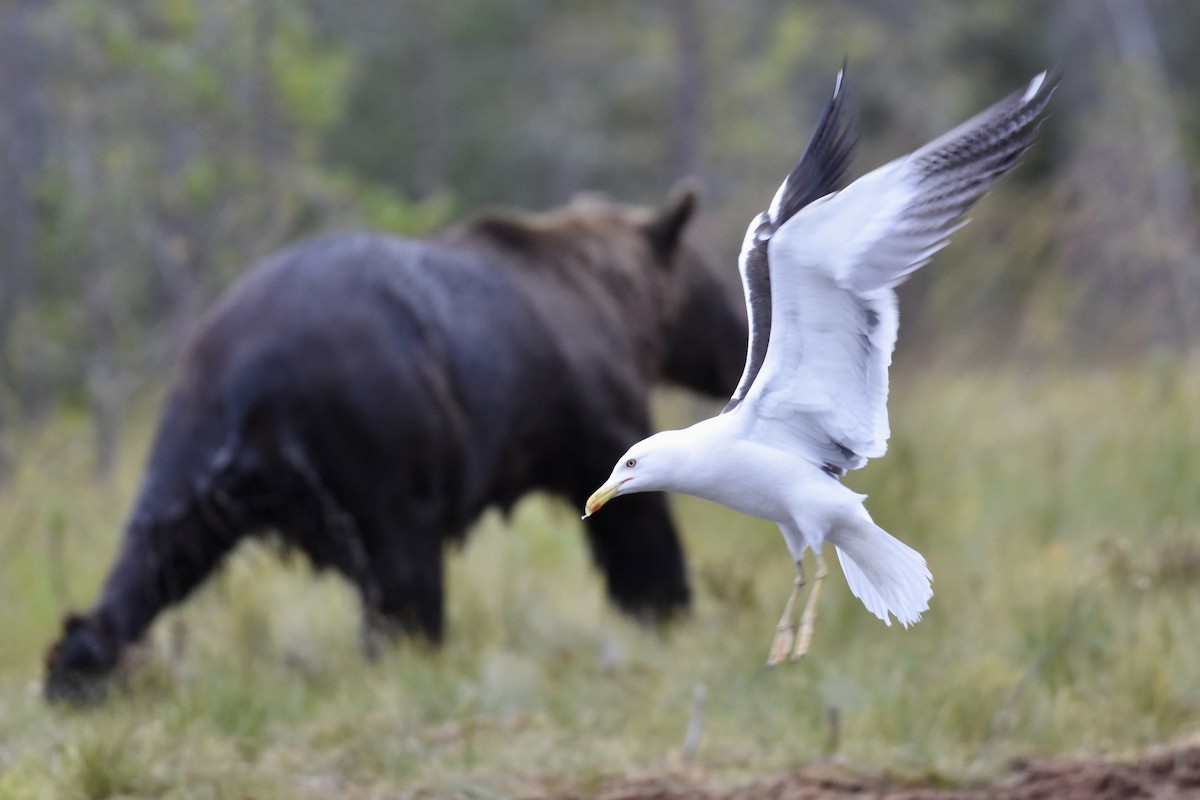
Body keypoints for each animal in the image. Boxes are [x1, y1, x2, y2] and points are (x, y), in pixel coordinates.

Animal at [46, 190, 744, 705]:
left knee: (155, 550)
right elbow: (636, 522)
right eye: (718, 286)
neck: (619, 307)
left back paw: (77, 670)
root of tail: (252, 375)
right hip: (379, 434)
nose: (740, 344)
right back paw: (414, 656)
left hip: (193, 438)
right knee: (404, 571)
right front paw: (668, 608)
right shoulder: (586, 407)